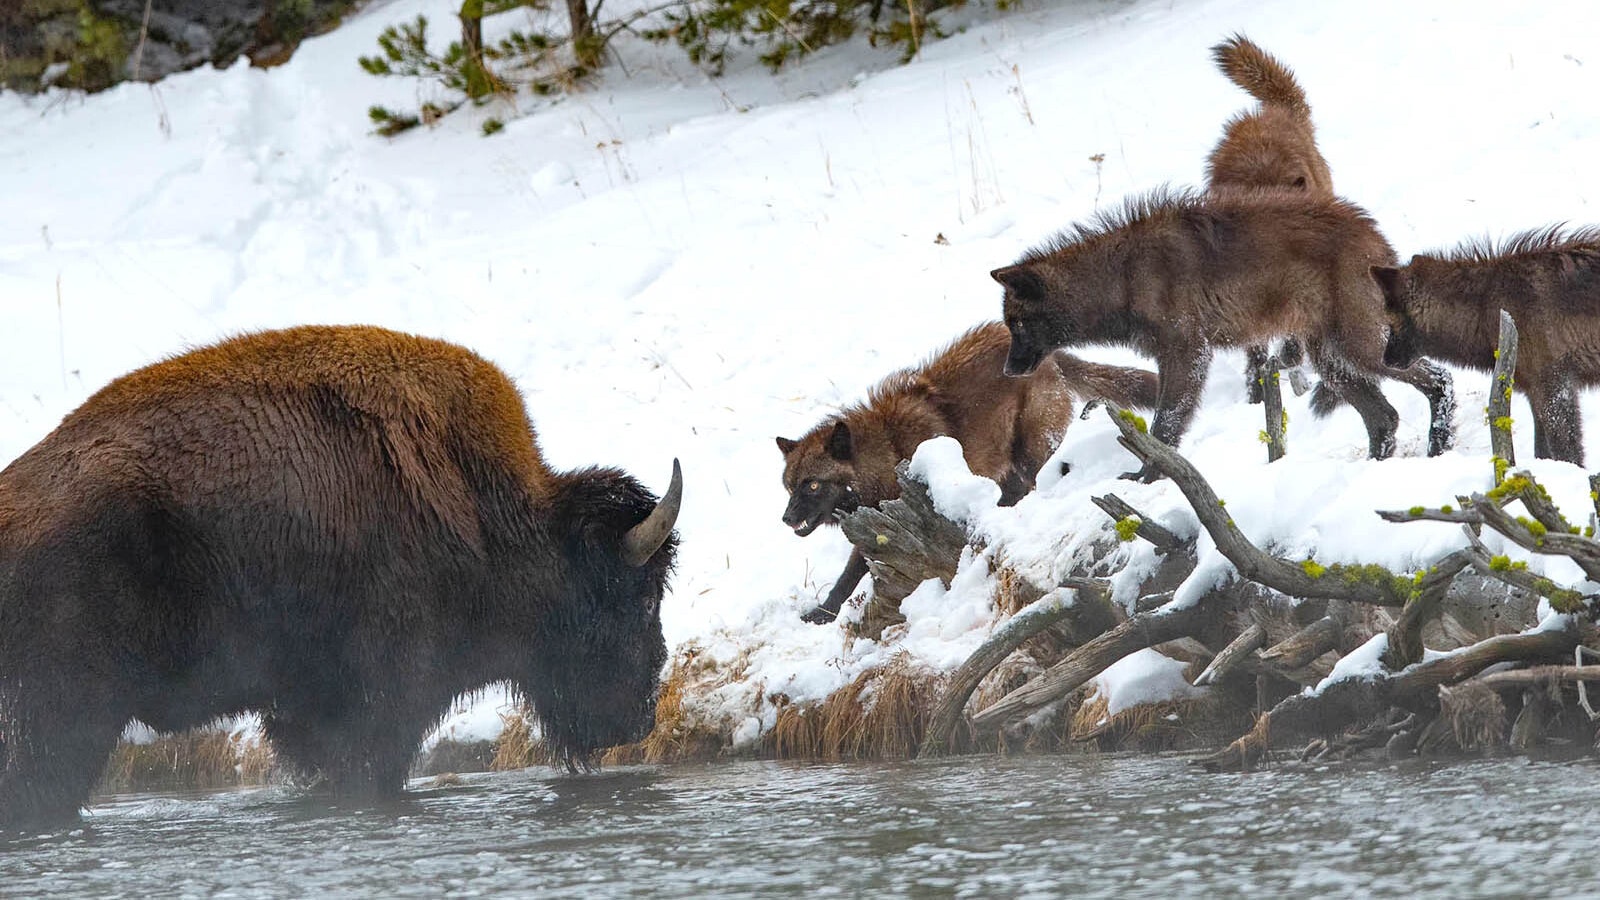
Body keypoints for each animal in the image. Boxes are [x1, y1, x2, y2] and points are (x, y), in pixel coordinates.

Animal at [777, 322, 1158, 624]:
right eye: (790, 487)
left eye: (813, 485)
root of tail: (1053, 357)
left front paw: (821, 615)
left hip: (1030, 455)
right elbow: (848, 576)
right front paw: (820, 614)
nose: (786, 518)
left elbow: (849, 576)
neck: (887, 450)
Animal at [993, 187, 1455, 480]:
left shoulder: (1187, 353)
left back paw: (1439, 448)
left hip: (1362, 348)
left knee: (1439, 379)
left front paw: (1148, 478)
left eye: (1017, 324)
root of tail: (1372, 229)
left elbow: (1164, 425)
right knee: (1384, 418)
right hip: (1333, 359)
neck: (1122, 278)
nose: (1009, 370)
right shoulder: (1174, 356)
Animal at [1376, 226, 1600, 464]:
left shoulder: (1555, 384)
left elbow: (1567, 453)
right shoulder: (1534, 389)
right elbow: (1542, 452)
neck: (1485, 312)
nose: (1386, 360)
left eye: (1390, 322)